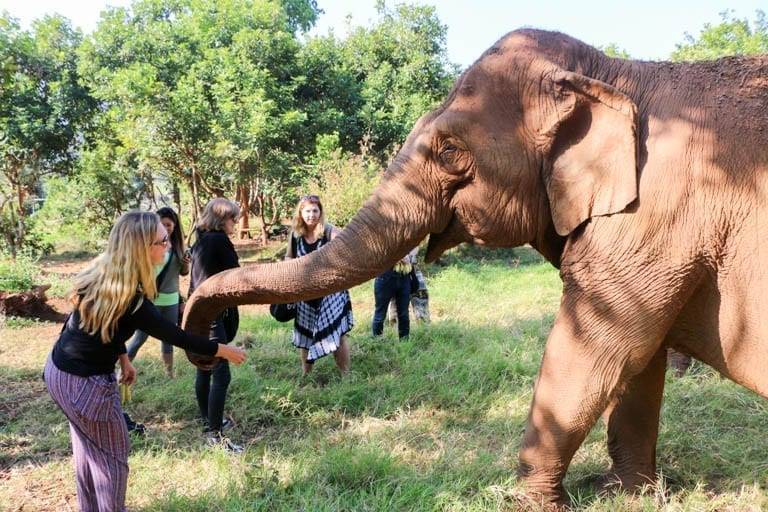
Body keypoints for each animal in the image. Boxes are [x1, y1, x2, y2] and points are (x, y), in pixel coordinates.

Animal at [182, 29, 768, 505]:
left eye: (448, 150)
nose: (208, 345)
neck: (619, 71)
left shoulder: (657, 221)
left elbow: (599, 350)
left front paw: (531, 503)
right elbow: (638, 363)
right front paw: (627, 494)